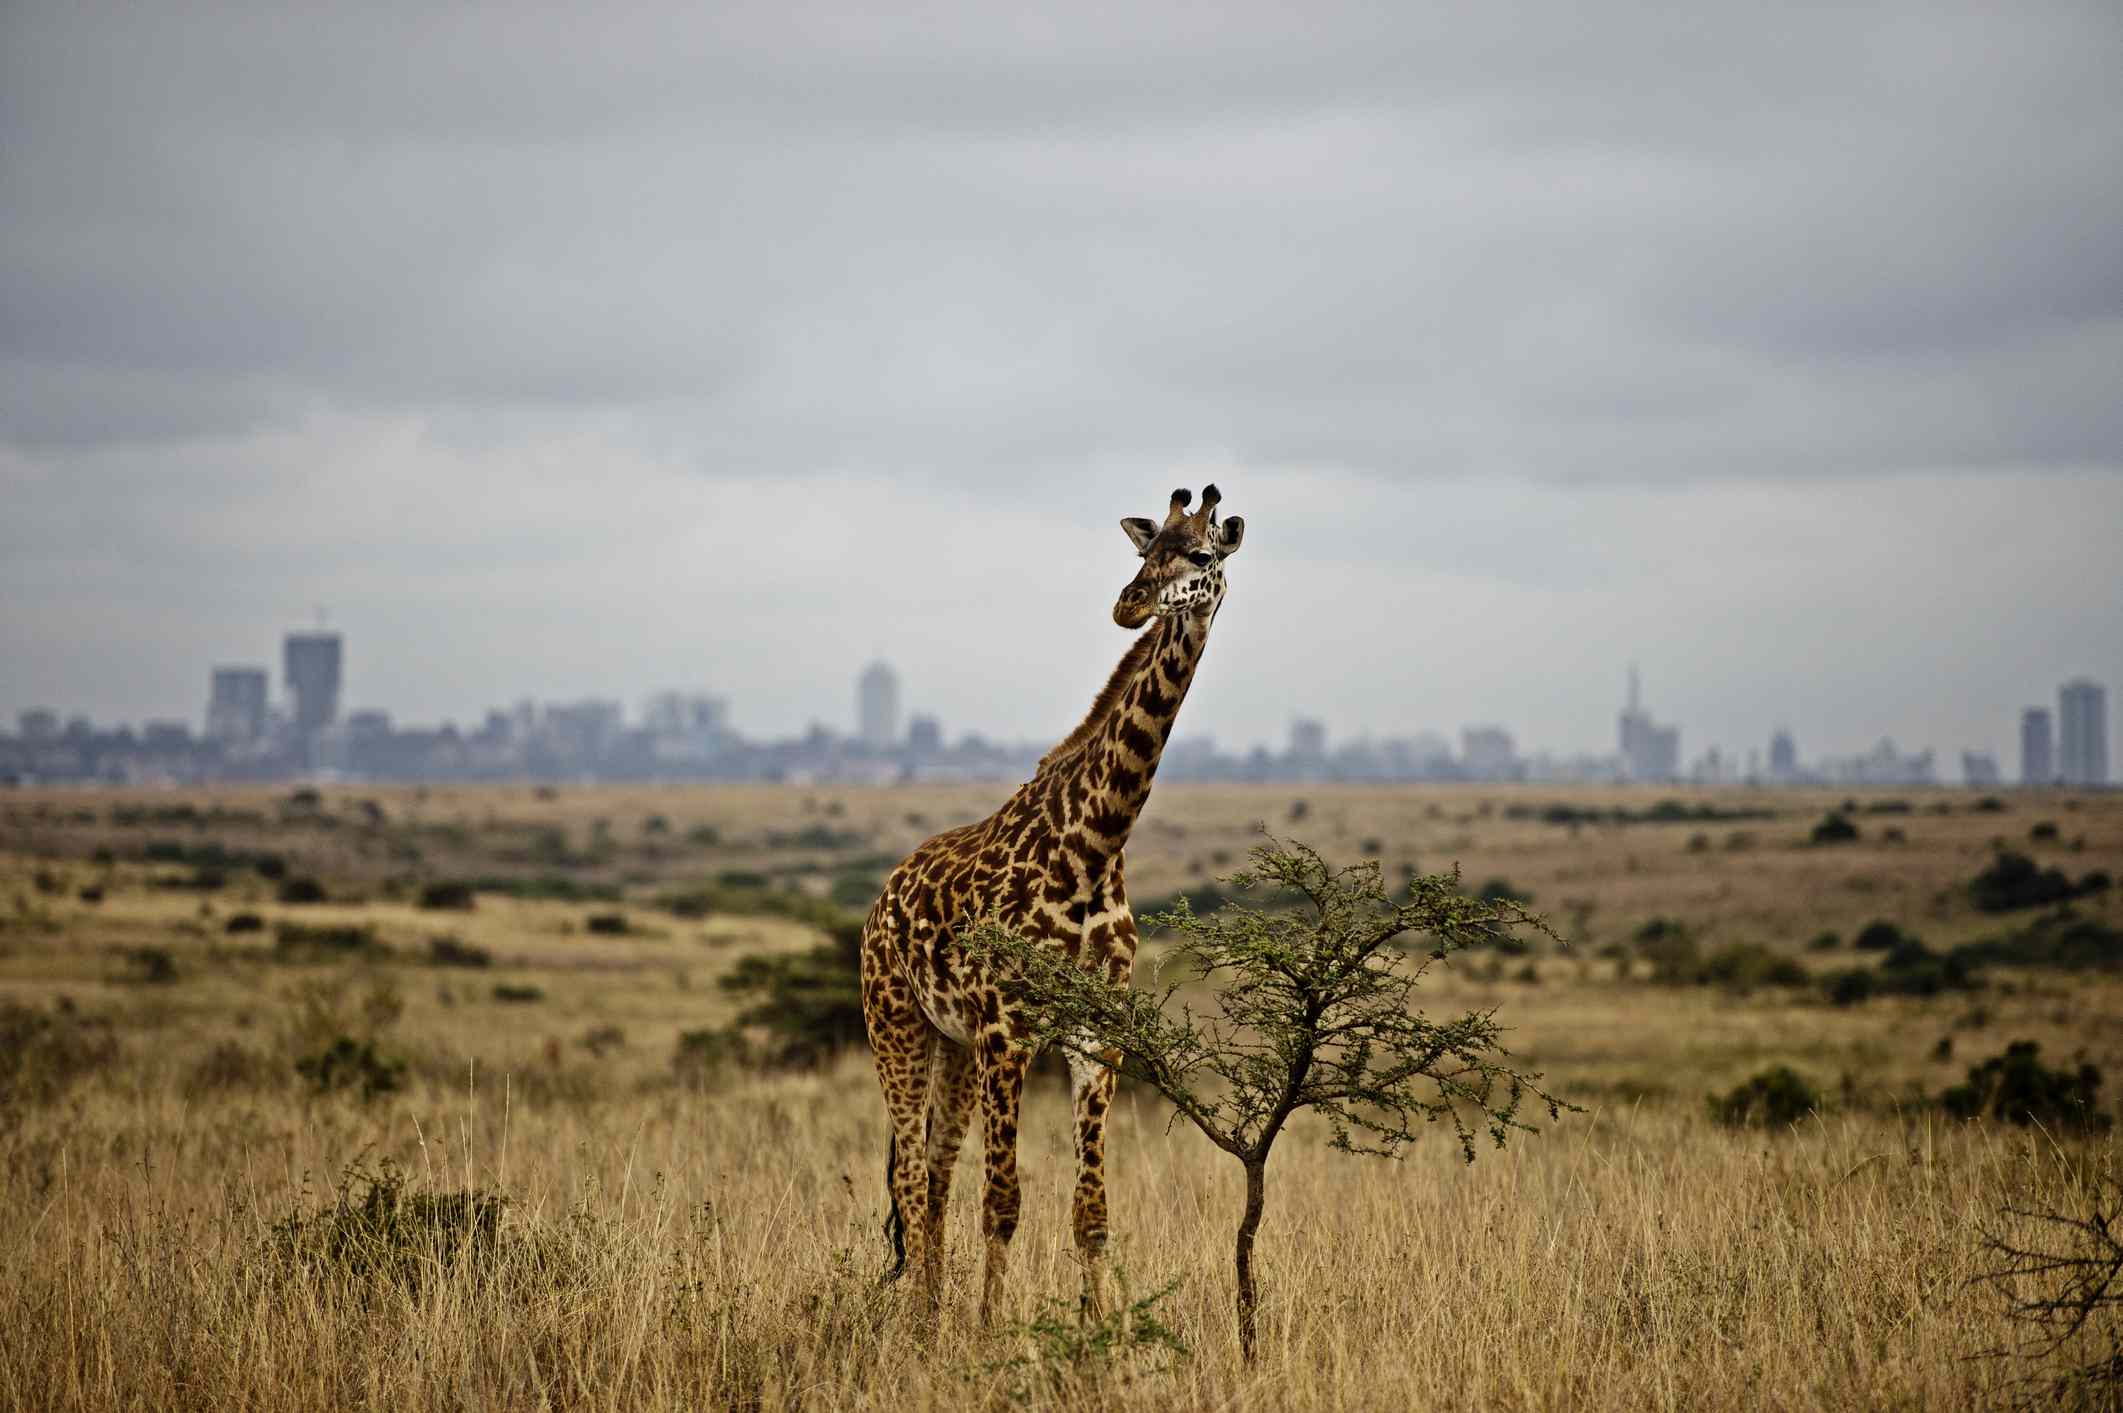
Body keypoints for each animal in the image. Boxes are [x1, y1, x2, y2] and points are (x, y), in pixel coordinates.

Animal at [860, 483, 1245, 1324]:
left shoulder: (1093, 1035)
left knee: (934, 1167)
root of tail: (883, 895)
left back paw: (931, 1309)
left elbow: (1090, 1208)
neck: (1094, 843)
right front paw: (990, 1330)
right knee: (907, 1172)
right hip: (895, 1023)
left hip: (953, 1042)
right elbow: (1002, 1200)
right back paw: (920, 1321)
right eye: (1144, 551)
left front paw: (1102, 1331)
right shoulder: (1009, 1030)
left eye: (1201, 553)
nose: (1129, 604)